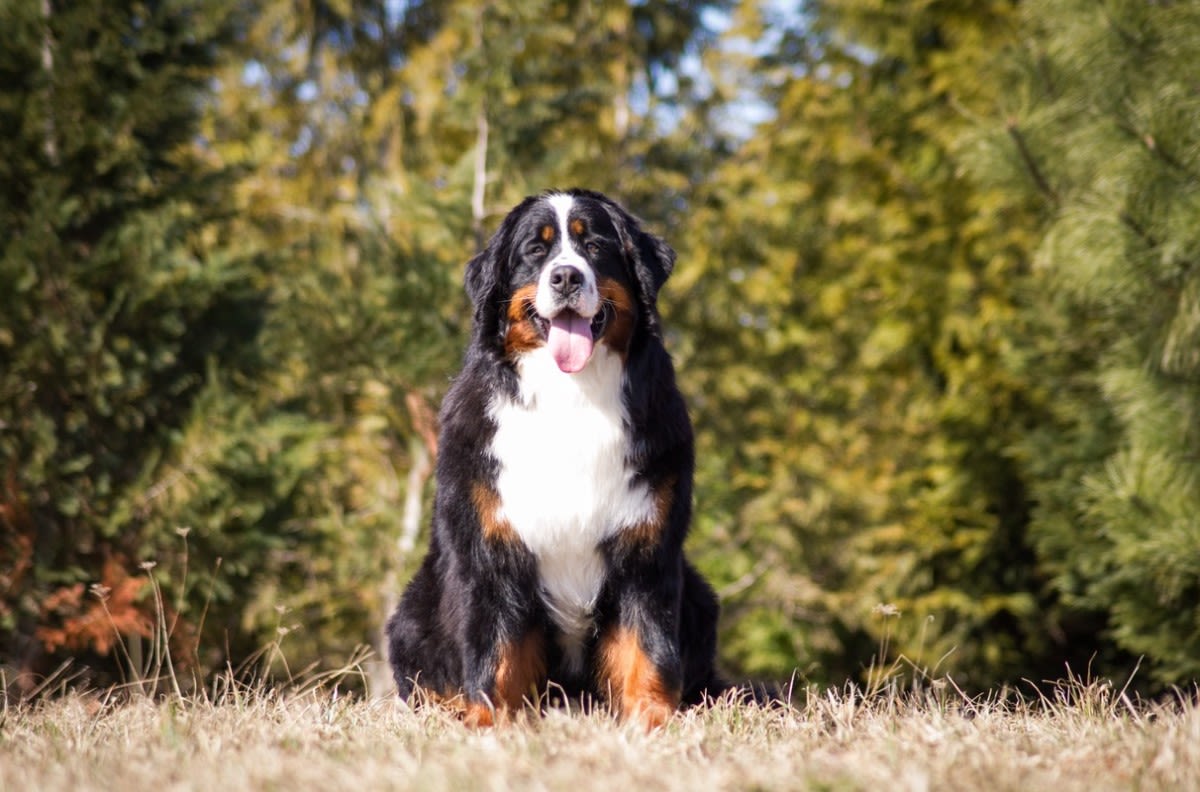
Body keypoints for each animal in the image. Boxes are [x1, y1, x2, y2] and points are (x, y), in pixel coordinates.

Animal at [386, 188, 720, 724]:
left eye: (596, 246)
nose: (565, 276)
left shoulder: (646, 549)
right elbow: (496, 653)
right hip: (414, 611)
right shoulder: (491, 549)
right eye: (535, 251)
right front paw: (488, 723)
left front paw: (652, 721)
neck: (572, 397)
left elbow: (647, 647)